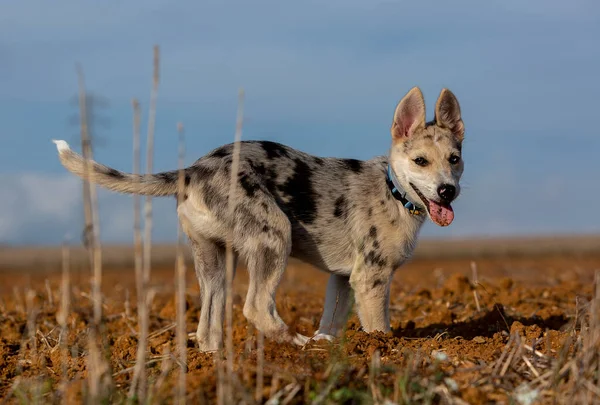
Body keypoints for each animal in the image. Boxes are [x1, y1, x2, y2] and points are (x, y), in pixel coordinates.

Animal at [52, 86, 464, 350]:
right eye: (420, 161)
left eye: (455, 160)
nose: (448, 191)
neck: (394, 191)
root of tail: (193, 170)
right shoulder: (372, 278)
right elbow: (379, 326)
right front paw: (384, 348)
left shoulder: (343, 279)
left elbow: (331, 321)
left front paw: (328, 347)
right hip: (273, 236)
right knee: (256, 307)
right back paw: (295, 343)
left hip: (215, 260)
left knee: (208, 327)